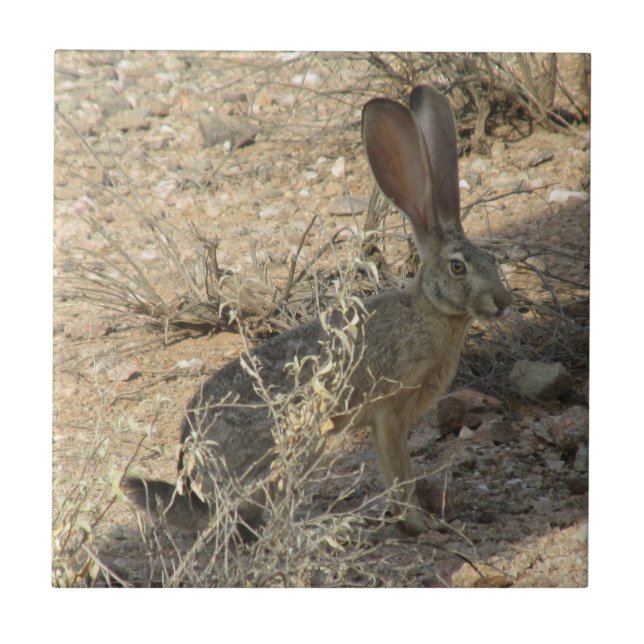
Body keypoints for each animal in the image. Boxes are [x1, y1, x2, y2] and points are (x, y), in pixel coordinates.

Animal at [122, 85, 513, 536]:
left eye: (493, 260)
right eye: (457, 267)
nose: (503, 302)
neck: (428, 310)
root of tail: (197, 477)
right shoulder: (389, 413)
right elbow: (399, 474)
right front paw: (419, 524)